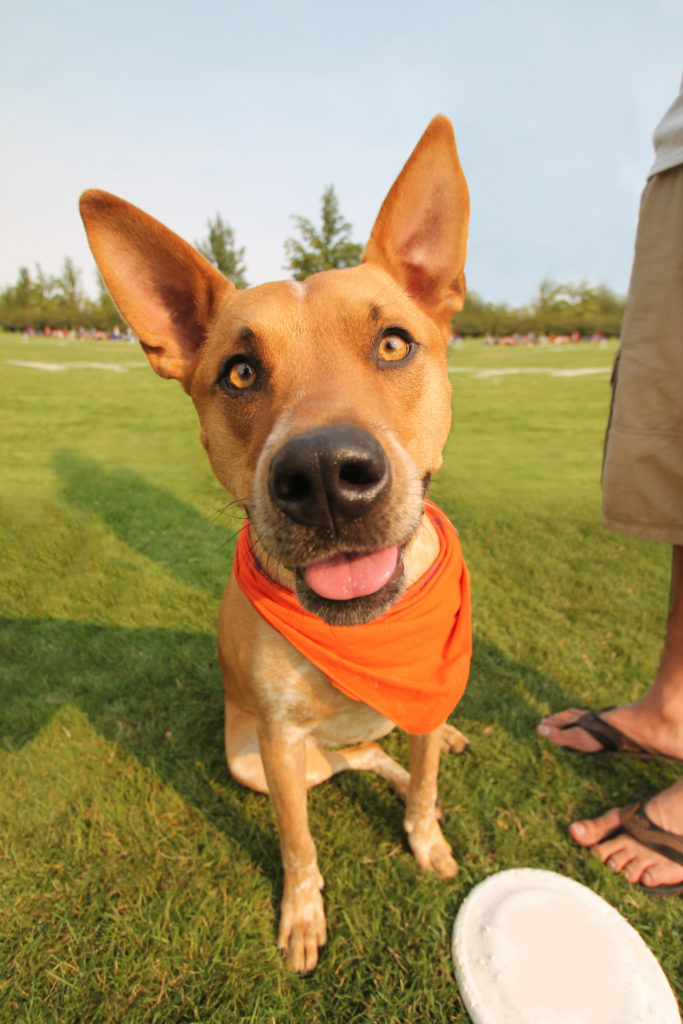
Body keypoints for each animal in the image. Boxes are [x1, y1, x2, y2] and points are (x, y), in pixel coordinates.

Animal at [80, 116, 473, 970]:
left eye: (393, 344)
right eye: (238, 372)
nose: (325, 475)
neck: (364, 636)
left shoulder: (421, 691)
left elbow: (425, 779)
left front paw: (426, 840)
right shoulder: (281, 746)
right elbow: (299, 845)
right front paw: (301, 915)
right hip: (252, 758)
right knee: (358, 760)